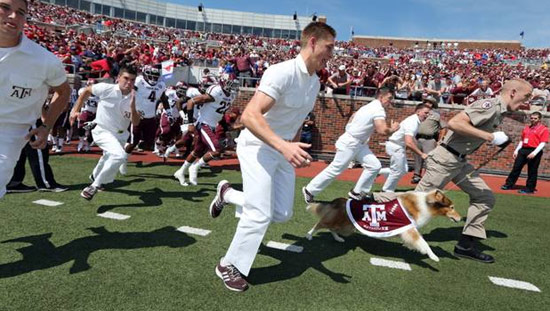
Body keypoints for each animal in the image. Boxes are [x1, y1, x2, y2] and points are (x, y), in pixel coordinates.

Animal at [306, 191, 462, 262]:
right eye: (452, 207)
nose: (460, 218)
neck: (424, 203)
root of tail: (338, 201)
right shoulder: (410, 229)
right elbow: (424, 243)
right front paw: (433, 256)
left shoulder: (408, 230)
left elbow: (417, 242)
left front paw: (409, 247)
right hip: (341, 222)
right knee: (320, 224)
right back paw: (309, 235)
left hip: (346, 226)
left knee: (331, 228)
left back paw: (338, 239)